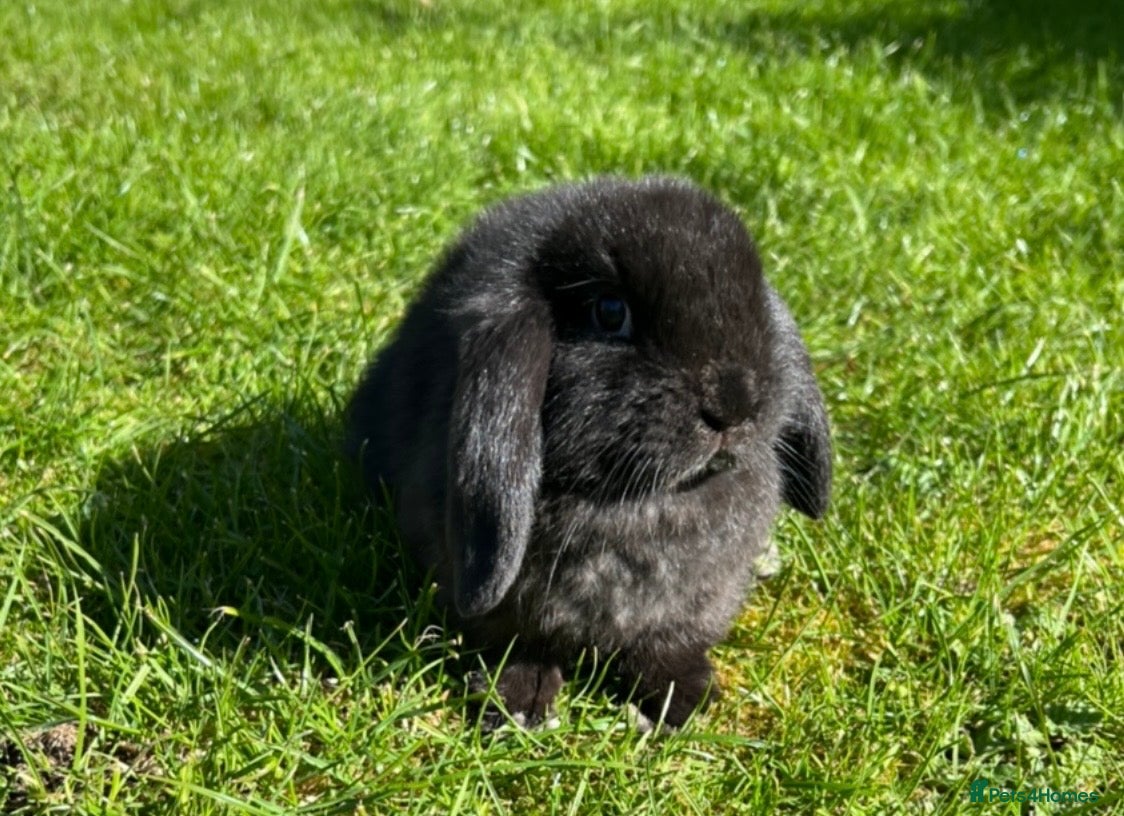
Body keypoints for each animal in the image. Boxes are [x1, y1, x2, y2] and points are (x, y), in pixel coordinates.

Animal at [345, 176, 831, 728]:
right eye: (610, 313)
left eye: (754, 305)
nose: (734, 404)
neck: (638, 503)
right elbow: (517, 642)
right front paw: (520, 702)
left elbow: (667, 645)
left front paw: (683, 697)